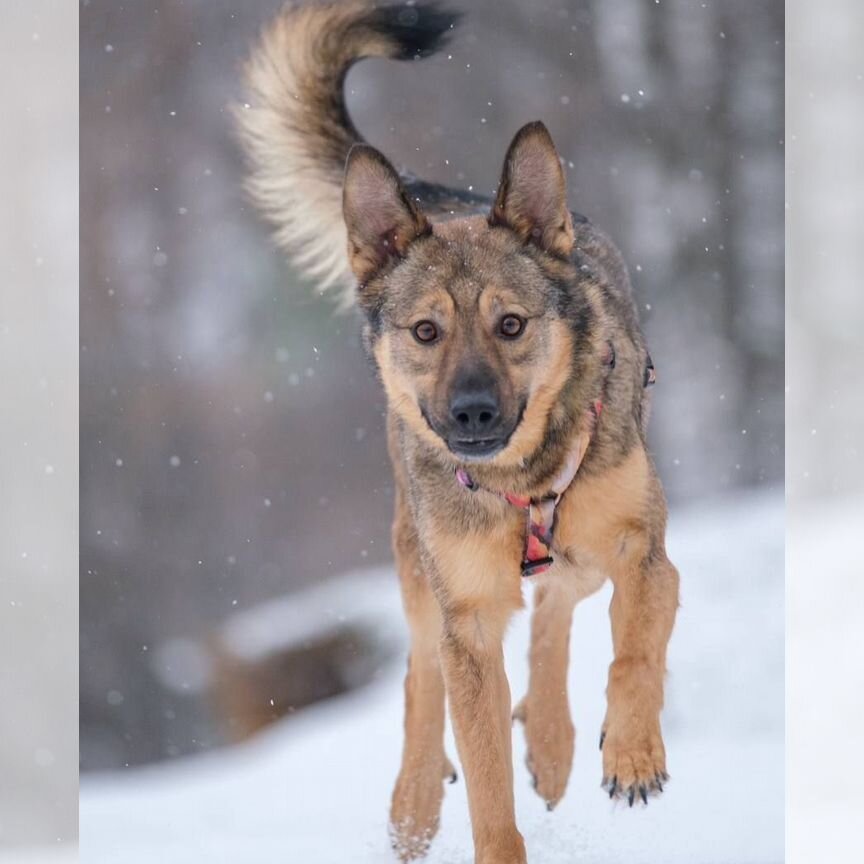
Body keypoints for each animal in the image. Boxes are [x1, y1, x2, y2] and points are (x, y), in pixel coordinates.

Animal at [238, 3, 680, 860]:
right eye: (426, 332)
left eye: (510, 325)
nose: (473, 412)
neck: (524, 484)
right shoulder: (468, 620)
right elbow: (482, 774)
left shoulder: (645, 553)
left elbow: (634, 652)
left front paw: (634, 753)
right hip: (418, 559)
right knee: (421, 671)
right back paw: (414, 804)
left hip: (581, 552)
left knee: (557, 607)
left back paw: (552, 740)